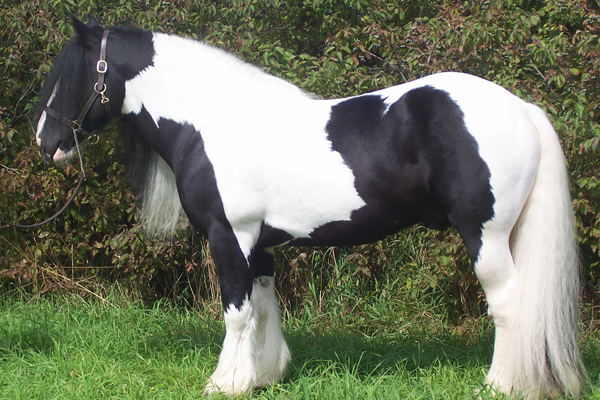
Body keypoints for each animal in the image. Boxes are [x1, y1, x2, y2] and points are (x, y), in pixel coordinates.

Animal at [35, 14, 584, 396]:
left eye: (73, 73)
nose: (45, 142)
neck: (213, 121)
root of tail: (521, 108)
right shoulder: (259, 244)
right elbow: (263, 307)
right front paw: (262, 377)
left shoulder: (228, 235)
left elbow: (236, 313)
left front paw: (223, 383)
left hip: (484, 234)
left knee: (509, 305)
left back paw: (501, 385)